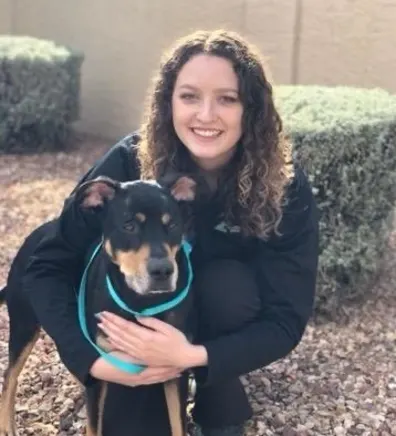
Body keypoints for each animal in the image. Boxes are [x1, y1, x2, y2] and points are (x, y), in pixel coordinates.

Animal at [0, 175, 198, 436]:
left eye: (172, 225)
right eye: (129, 225)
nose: (163, 271)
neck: (140, 301)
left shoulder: (176, 368)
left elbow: (178, 426)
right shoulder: (99, 370)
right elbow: (94, 426)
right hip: (23, 324)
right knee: (9, 376)